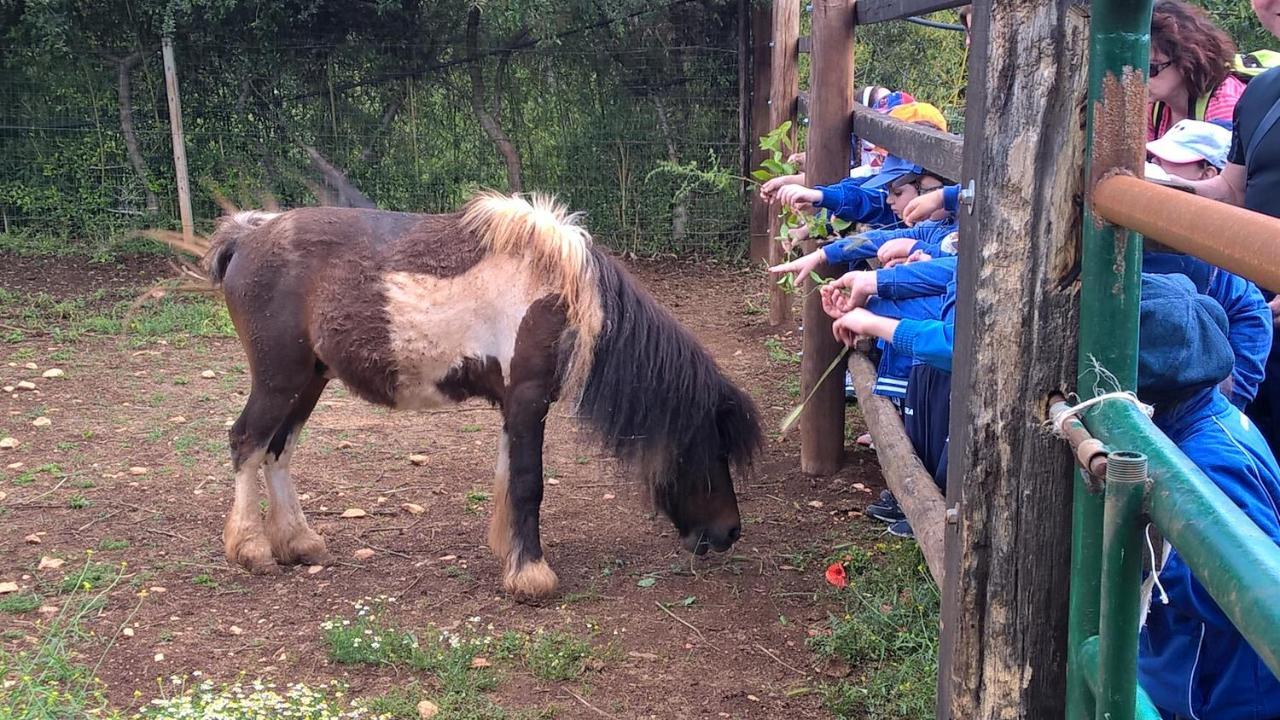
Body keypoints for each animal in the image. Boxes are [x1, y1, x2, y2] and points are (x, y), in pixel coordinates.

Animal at [200, 192, 757, 599]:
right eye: (712, 449)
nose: (731, 533)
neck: (560, 292)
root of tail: (248, 235)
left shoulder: (516, 405)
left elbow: (510, 479)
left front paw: (510, 555)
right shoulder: (530, 400)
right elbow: (529, 484)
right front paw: (532, 575)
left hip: (309, 381)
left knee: (278, 450)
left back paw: (298, 542)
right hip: (279, 380)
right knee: (246, 442)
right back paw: (251, 549)